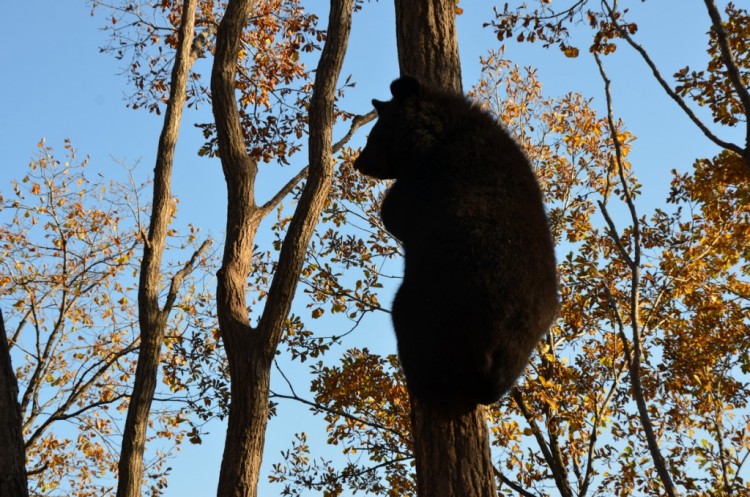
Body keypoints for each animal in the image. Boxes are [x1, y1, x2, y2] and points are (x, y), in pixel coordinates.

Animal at [356, 75, 560, 404]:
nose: (359, 163)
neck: (440, 134)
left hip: (435, 301)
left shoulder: (428, 180)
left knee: (407, 322)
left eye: (375, 135)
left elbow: (395, 213)